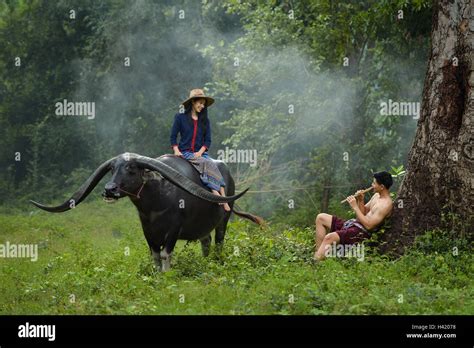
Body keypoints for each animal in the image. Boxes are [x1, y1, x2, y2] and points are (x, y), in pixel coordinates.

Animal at [32, 153, 262, 272]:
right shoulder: (147, 230)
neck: (155, 205)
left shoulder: (174, 229)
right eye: (112, 170)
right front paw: (157, 274)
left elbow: (165, 253)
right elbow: (154, 255)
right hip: (202, 228)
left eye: (131, 169)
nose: (109, 189)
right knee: (205, 242)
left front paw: (167, 274)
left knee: (219, 242)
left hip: (224, 221)